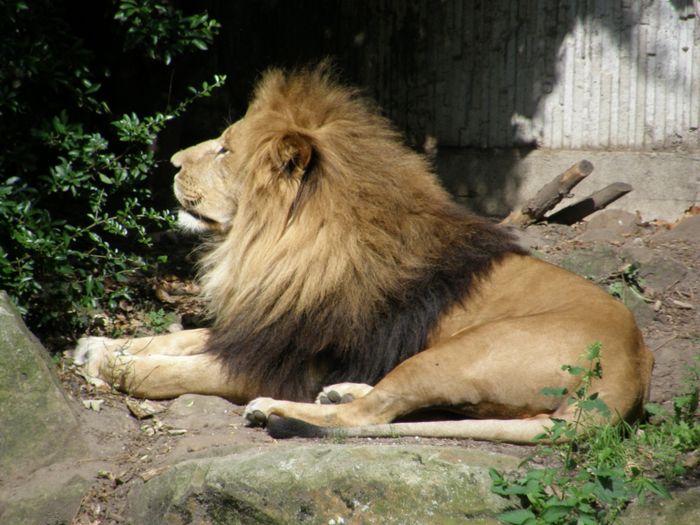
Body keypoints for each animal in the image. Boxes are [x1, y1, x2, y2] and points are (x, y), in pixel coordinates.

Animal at [72, 65, 656, 442]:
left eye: (224, 150)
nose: (170, 161)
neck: (273, 249)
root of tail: (631, 372)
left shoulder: (279, 362)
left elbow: (175, 372)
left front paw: (113, 368)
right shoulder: (263, 327)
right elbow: (179, 340)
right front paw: (100, 345)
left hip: (459, 351)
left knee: (372, 418)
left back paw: (278, 411)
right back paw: (341, 390)